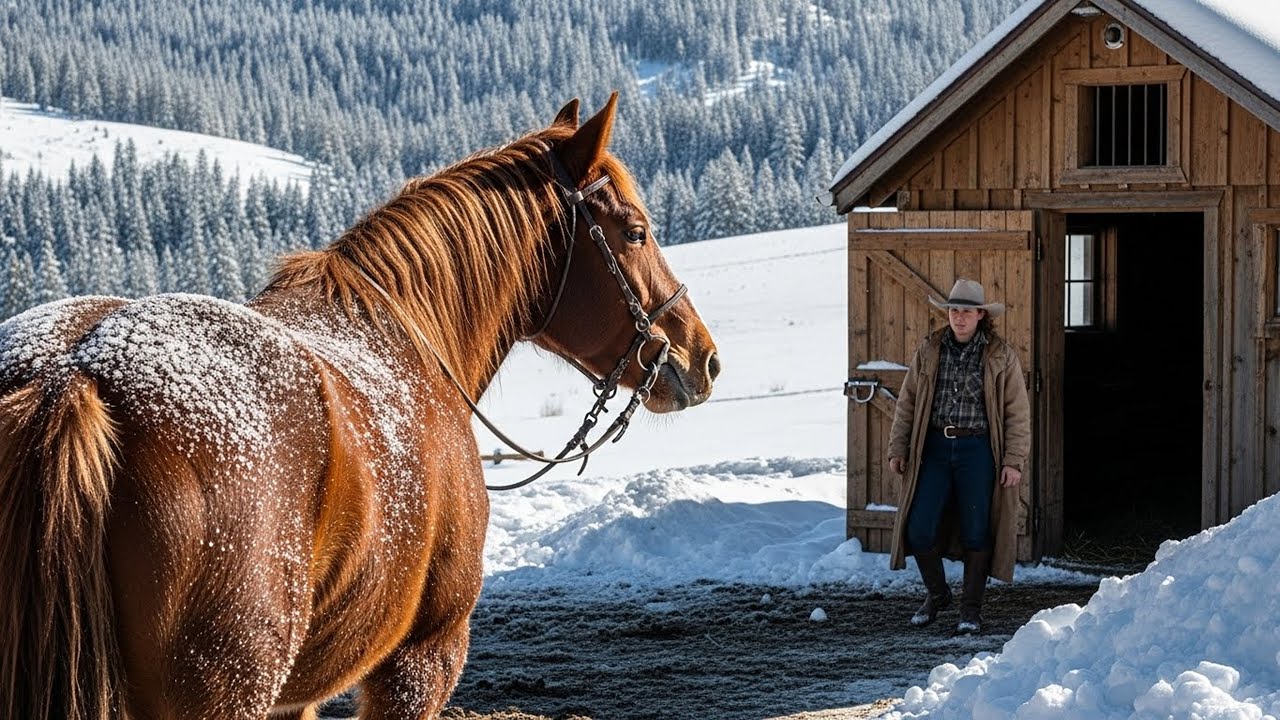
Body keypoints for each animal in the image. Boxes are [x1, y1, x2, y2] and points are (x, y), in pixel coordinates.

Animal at [0, 92, 719, 719]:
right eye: (635, 232)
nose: (701, 356)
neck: (414, 337)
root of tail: (75, 373)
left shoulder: (296, 696)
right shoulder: (421, 660)